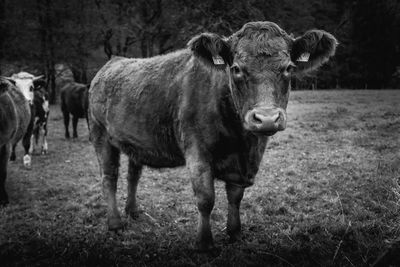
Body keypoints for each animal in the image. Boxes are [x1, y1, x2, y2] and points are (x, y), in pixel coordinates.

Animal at [88, 21, 338, 251]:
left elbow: (235, 196)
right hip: (100, 134)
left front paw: (235, 232)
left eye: (288, 68)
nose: (266, 118)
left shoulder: (242, 165)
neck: (242, 143)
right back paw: (115, 223)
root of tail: (113, 62)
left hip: (135, 142)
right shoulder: (197, 154)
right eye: (236, 68)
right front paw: (204, 242)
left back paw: (133, 211)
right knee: (109, 177)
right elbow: (206, 199)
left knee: (133, 175)